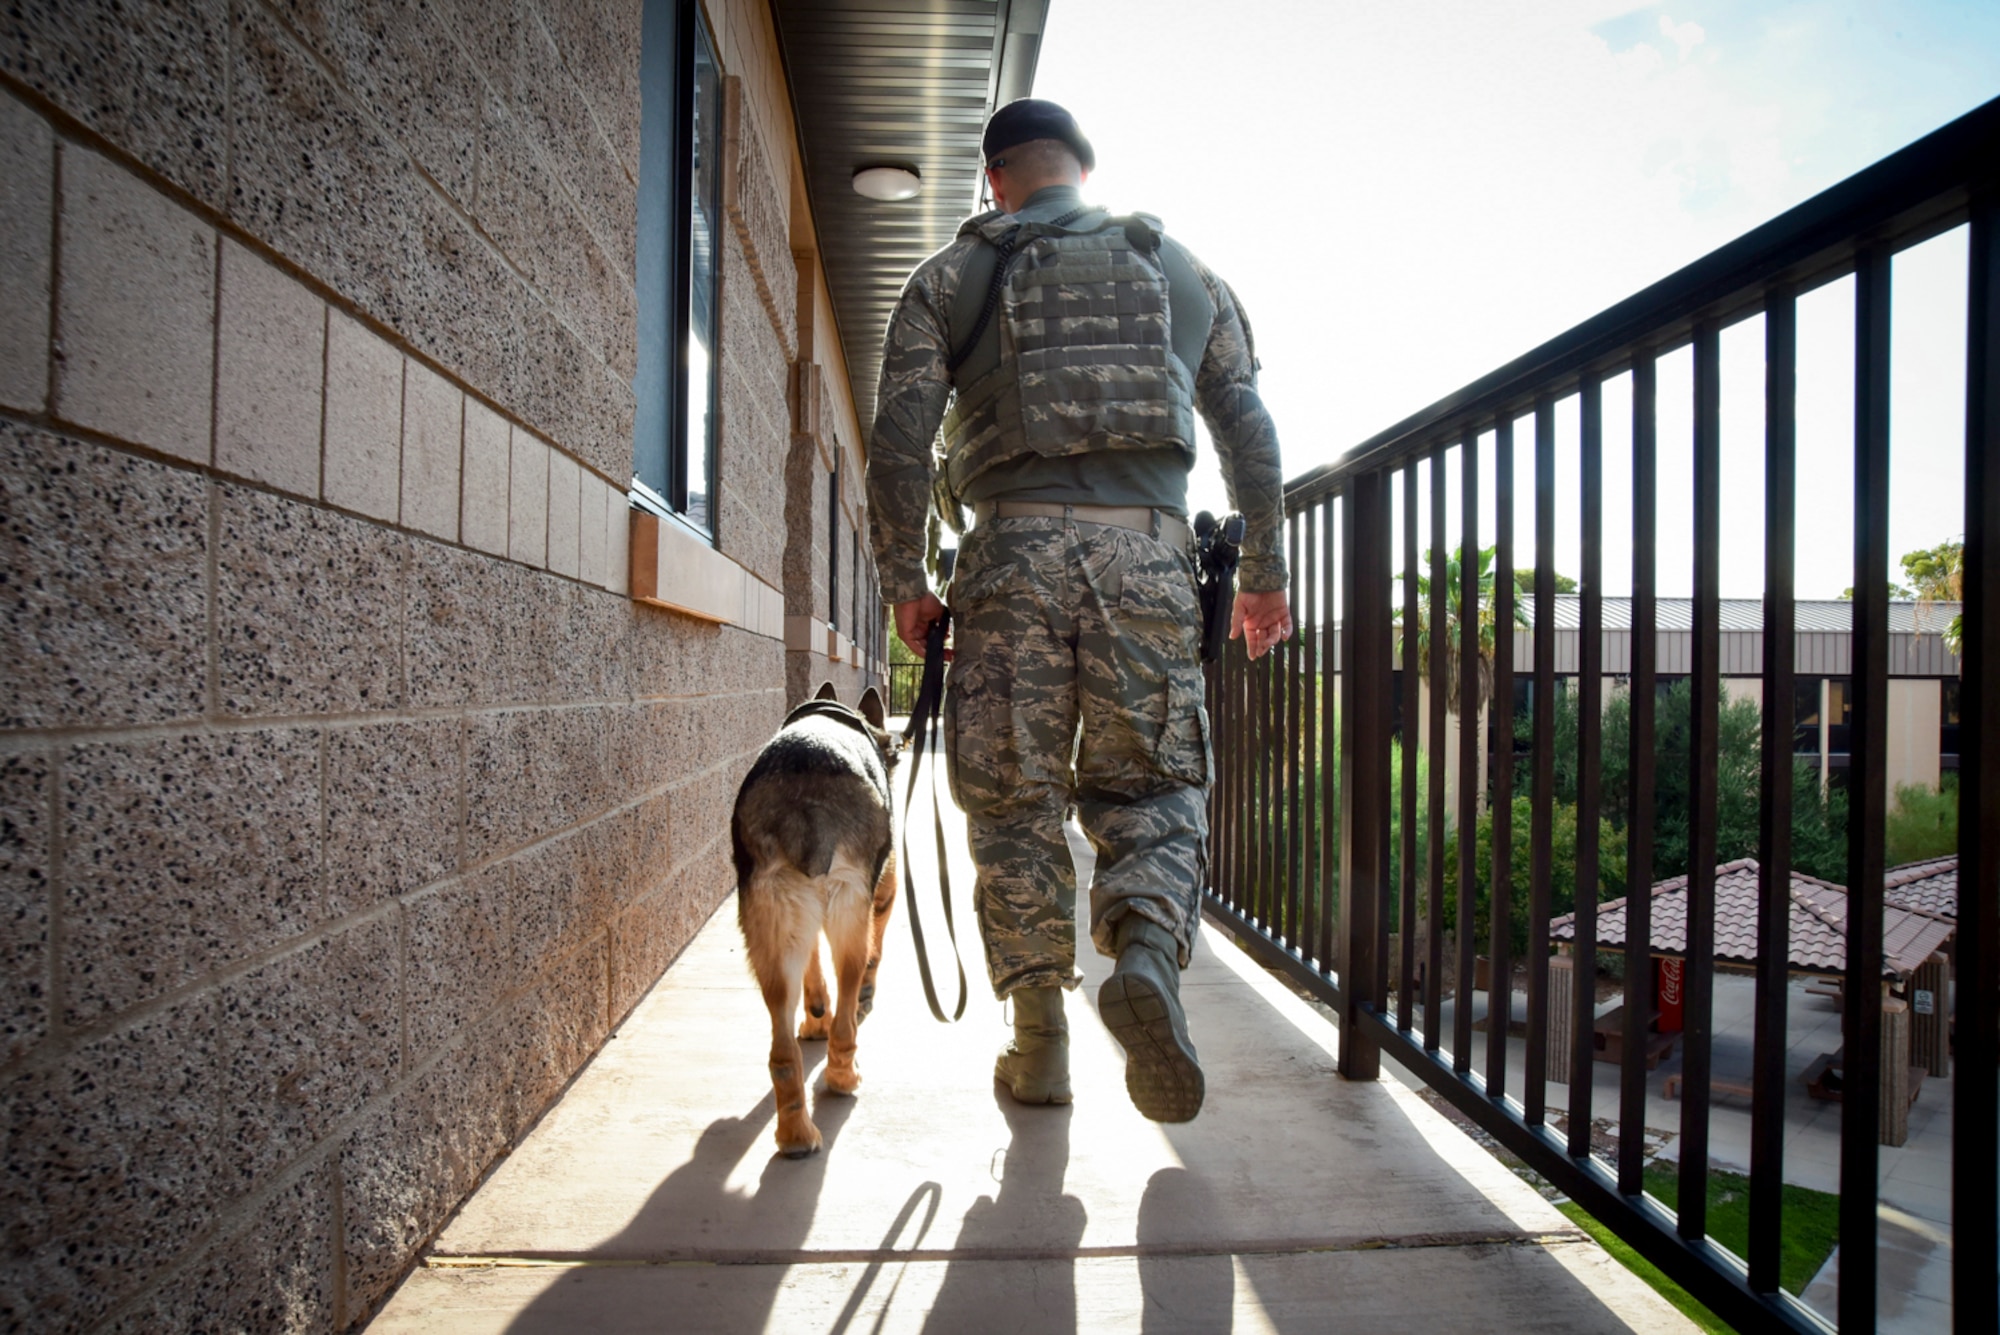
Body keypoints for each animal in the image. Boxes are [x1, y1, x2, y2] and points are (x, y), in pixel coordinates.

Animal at [728, 683, 900, 1151]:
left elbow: (812, 971)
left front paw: (814, 1017)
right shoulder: (882, 894)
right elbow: (874, 958)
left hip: (773, 932)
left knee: (782, 1053)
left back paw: (795, 1135)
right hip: (849, 915)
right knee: (848, 1009)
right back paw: (843, 1077)